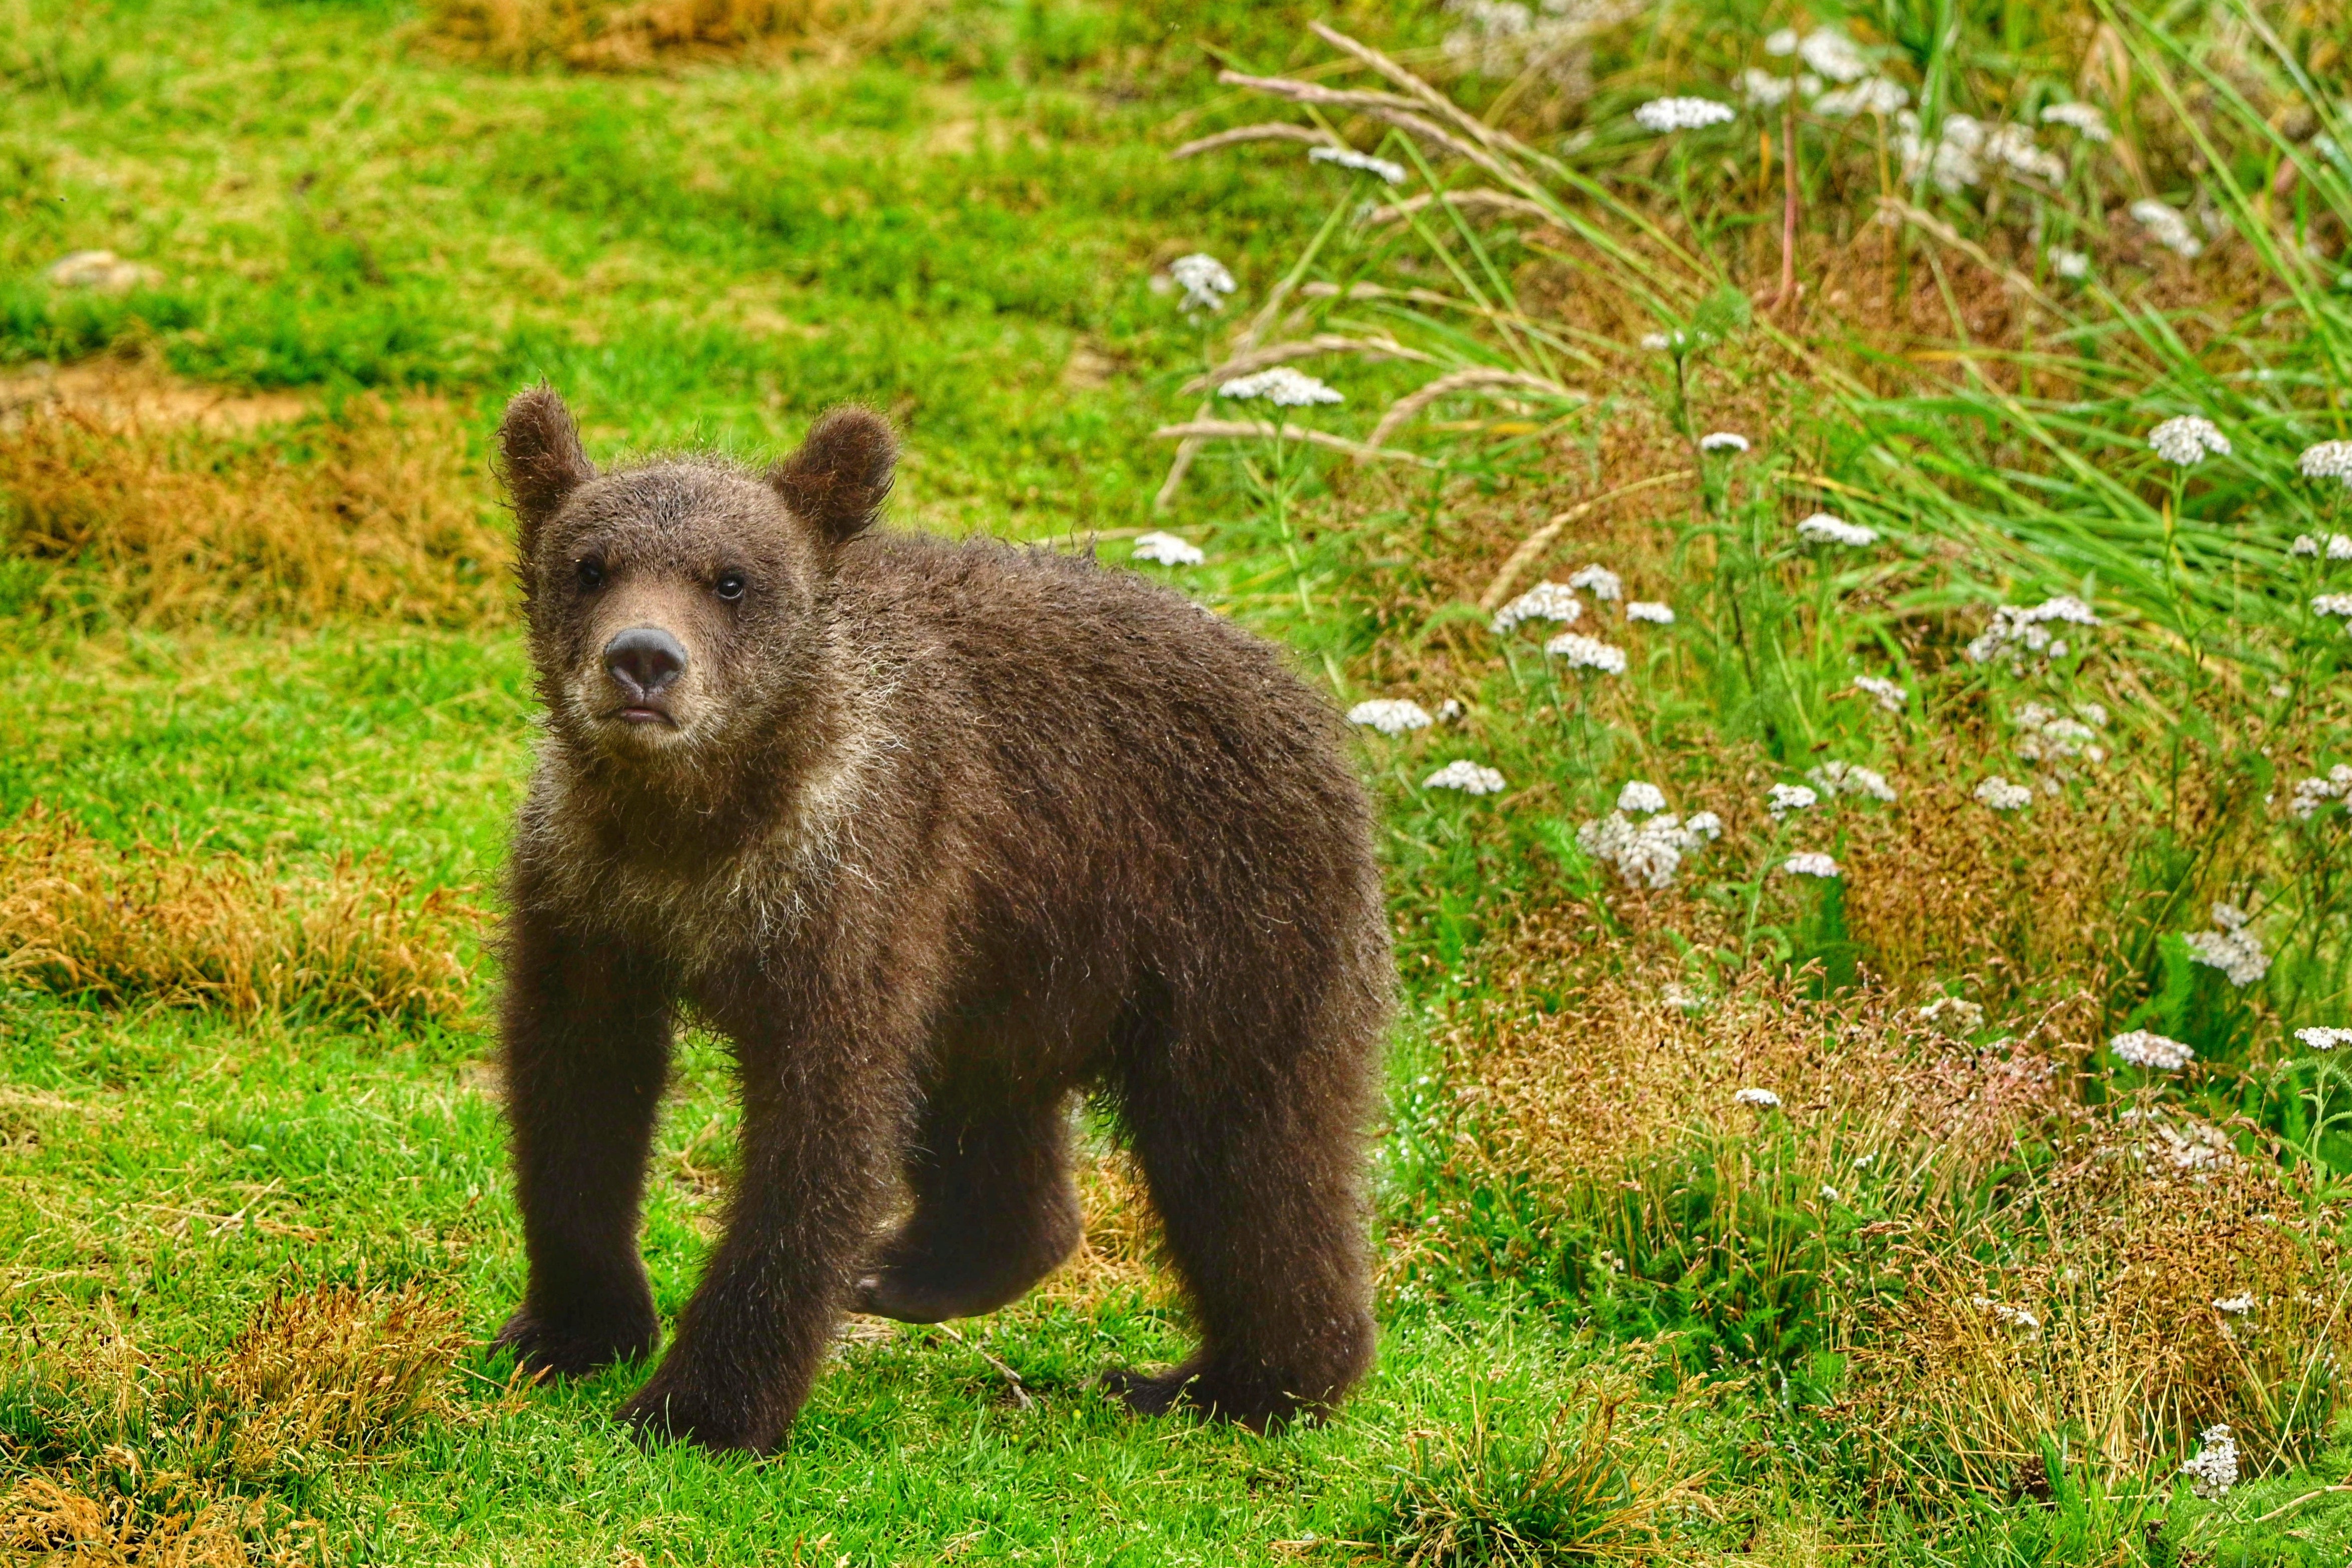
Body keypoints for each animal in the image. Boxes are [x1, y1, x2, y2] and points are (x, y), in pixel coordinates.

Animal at [490, 386, 1393, 1454]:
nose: (642, 661)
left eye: (730, 579)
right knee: (991, 1107)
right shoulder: (588, 899)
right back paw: (920, 1269)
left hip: (1229, 927)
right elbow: (575, 1094)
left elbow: (818, 1138)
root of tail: (1321, 714)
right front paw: (571, 1327)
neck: (694, 826)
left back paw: (1235, 1380)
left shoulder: (852, 892)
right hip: (1017, 955)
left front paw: (700, 1407)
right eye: (590, 565)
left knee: (1247, 1151)